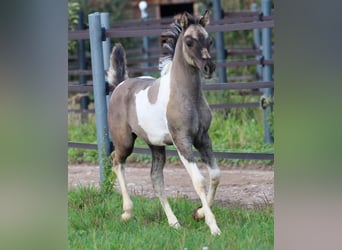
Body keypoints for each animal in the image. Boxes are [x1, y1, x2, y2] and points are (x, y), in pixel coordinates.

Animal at [107, 10, 222, 236]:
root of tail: (119, 85)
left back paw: (174, 223)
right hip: (125, 142)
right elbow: (199, 180)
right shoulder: (182, 141)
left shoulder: (203, 138)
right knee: (116, 161)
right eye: (189, 42)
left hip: (156, 146)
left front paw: (198, 213)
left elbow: (214, 175)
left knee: (156, 179)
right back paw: (127, 212)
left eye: (209, 40)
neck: (186, 95)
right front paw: (213, 227)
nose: (209, 67)